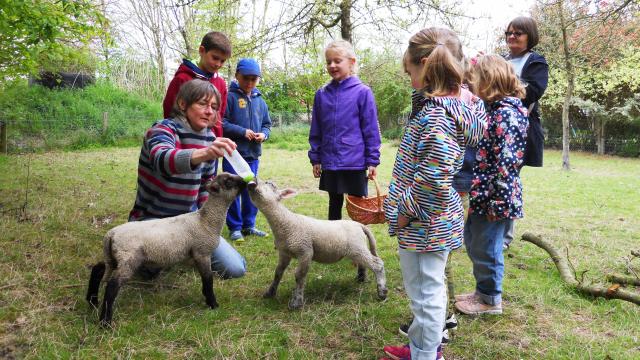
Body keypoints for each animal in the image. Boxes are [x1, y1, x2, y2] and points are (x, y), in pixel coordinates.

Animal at [85, 172, 245, 326]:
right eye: (228, 181)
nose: (245, 181)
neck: (206, 220)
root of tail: (110, 234)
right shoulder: (202, 253)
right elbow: (208, 279)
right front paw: (213, 304)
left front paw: (208, 299)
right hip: (128, 258)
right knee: (112, 286)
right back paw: (105, 322)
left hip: (114, 257)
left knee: (98, 269)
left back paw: (92, 301)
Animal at [245, 180, 384, 310]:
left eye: (271, 185)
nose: (251, 183)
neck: (287, 223)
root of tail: (359, 225)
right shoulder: (284, 253)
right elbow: (278, 273)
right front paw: (270, 293)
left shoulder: (305, 251)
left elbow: (299, 276)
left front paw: (296, 302)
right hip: (358, 249)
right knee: (364, 263)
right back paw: (361, 279)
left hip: (357, 248)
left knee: (378, 264)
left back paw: (382, 292)